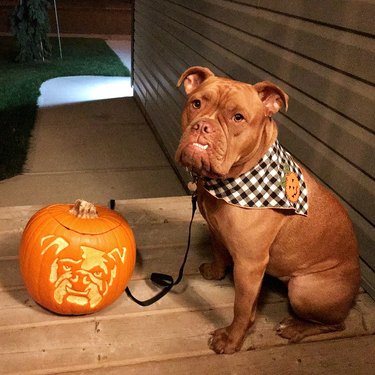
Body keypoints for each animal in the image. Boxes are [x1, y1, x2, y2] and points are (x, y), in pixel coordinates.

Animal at [176, 66, 362, 354]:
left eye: (238, 117)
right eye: (196, 103)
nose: (202, 126)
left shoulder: (249, 265)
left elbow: (242, 308)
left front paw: (231, 340)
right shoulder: (218, 232)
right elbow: (219, 251)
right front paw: (216, 272)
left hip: (303, 288)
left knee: (335, 324)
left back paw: (295, 328)